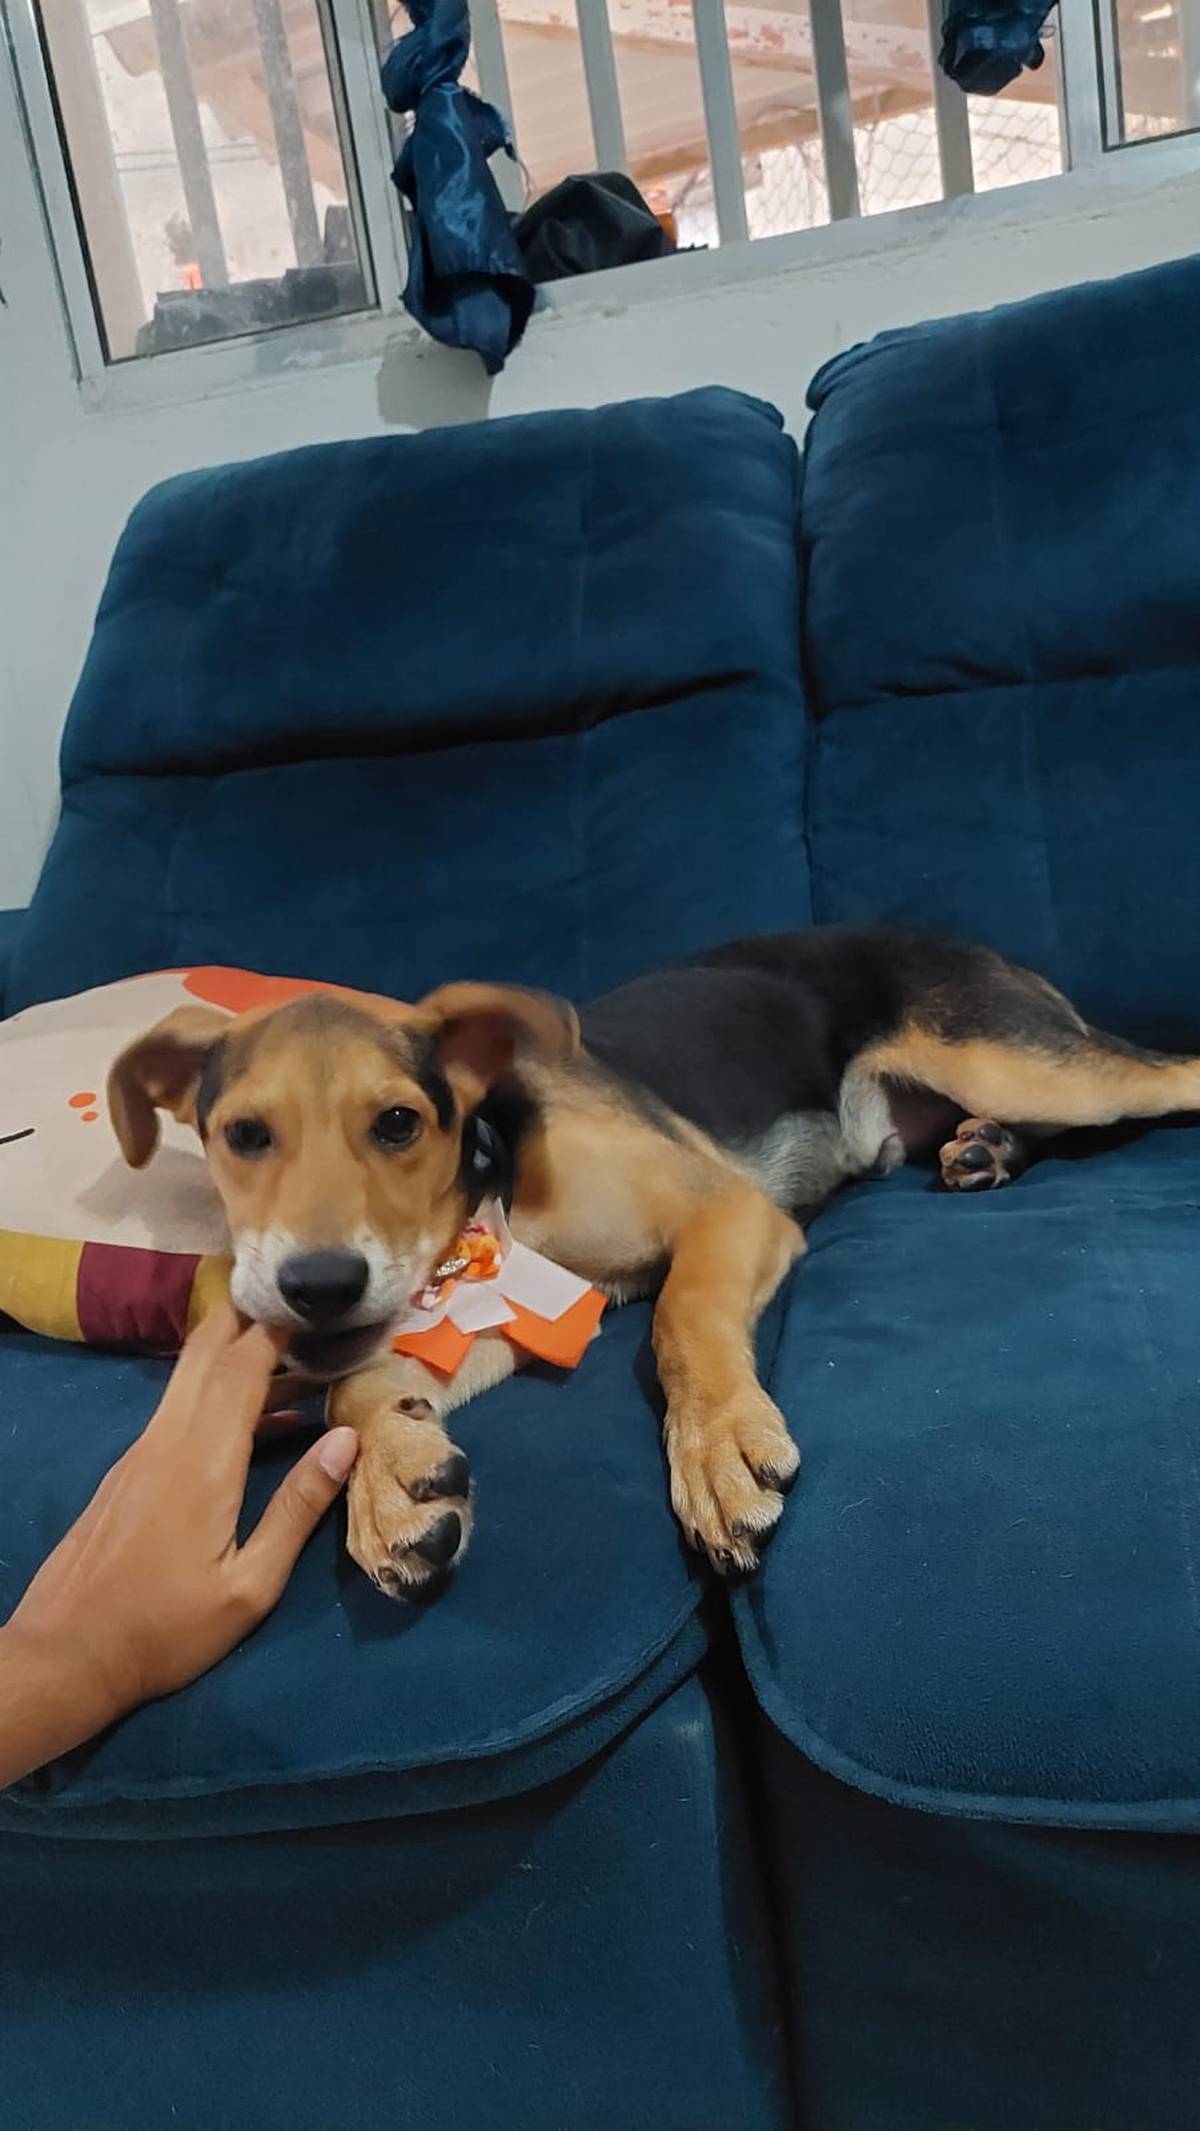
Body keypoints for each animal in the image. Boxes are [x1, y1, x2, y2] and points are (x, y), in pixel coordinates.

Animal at [107, 927, 1200, 1595]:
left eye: (399, 1123)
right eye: (243, 1137)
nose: (315, 1289)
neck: (499, 1168)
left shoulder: (726, 1212)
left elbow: (679, 1316)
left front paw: (714, 1449)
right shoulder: (524, 1312)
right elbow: (358, 1391)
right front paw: (393, 1479)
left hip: (1014, 1058)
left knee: (1170, 1076)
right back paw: (987, 1150)